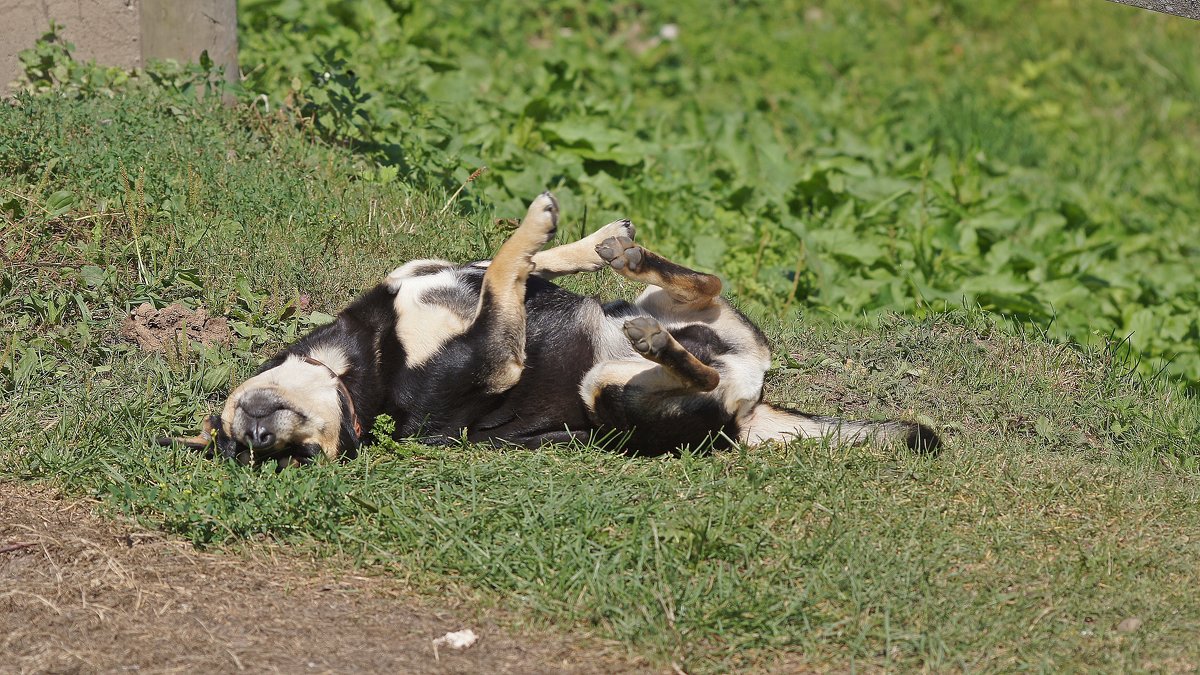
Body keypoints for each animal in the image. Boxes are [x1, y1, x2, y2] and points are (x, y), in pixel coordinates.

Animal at [164, 189, 940, 461]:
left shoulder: (445, 275)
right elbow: (508, 265)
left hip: (677, 311)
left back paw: (632, 259)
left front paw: (588, 240)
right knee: (689, 369)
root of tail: (748, 411)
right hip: (615, 395)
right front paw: (544, 226)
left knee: (701, 288)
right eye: (298, 458)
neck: (363, 362)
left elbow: (515, 262)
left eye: (235, 433)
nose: (260, 437)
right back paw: (660, 347)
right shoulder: (494, 352)